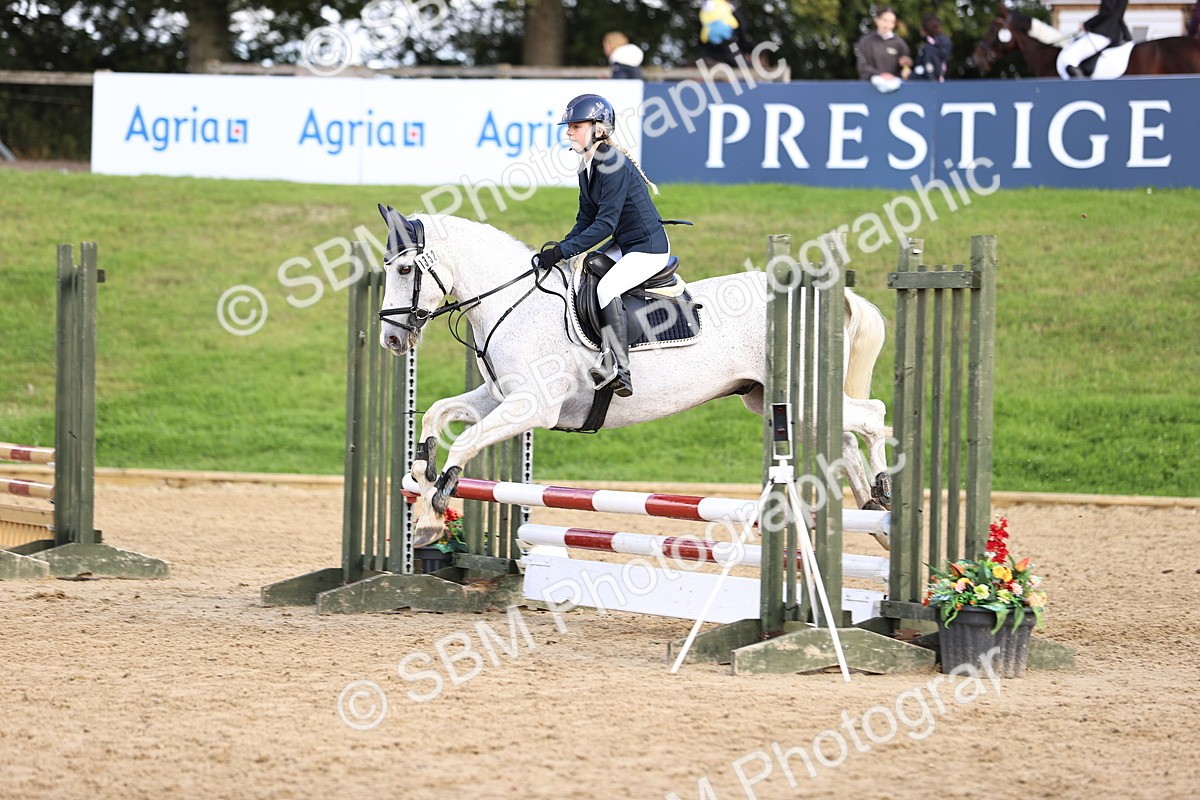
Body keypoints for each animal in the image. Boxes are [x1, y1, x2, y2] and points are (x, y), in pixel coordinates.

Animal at [374, 206, 893, 547]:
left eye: (405, 268)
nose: (392, 340)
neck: (513, 302)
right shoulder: (501, 396)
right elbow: (437, 416)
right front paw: (424, 485)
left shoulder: (533, 407)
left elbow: (464, 440)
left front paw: (430, 513)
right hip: (773, 399)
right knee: (844, 437)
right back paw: (874, 512)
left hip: (795, 395)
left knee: (872, 416)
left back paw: (884, 493)